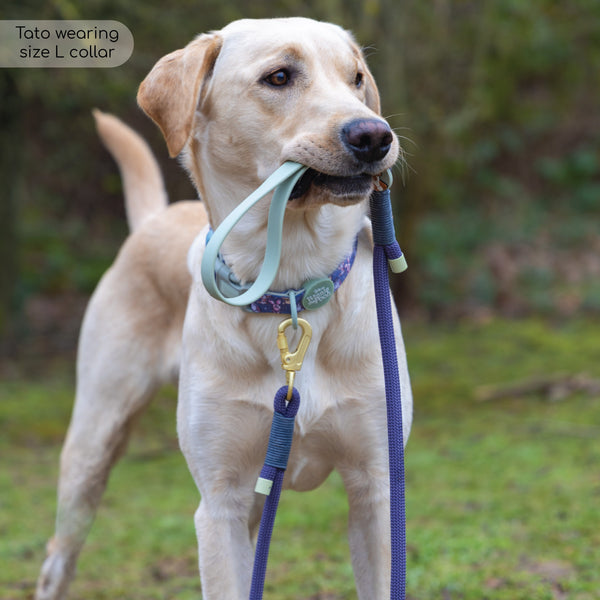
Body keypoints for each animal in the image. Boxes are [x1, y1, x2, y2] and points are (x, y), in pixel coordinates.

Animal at [35, 16, 412, 596]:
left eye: (356, 79)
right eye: (279, 76)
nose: (375, 135)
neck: (291, 290)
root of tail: (155, 219)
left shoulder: (377, 489)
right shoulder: (220, 503)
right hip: (93, 444)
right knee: (58, 557)